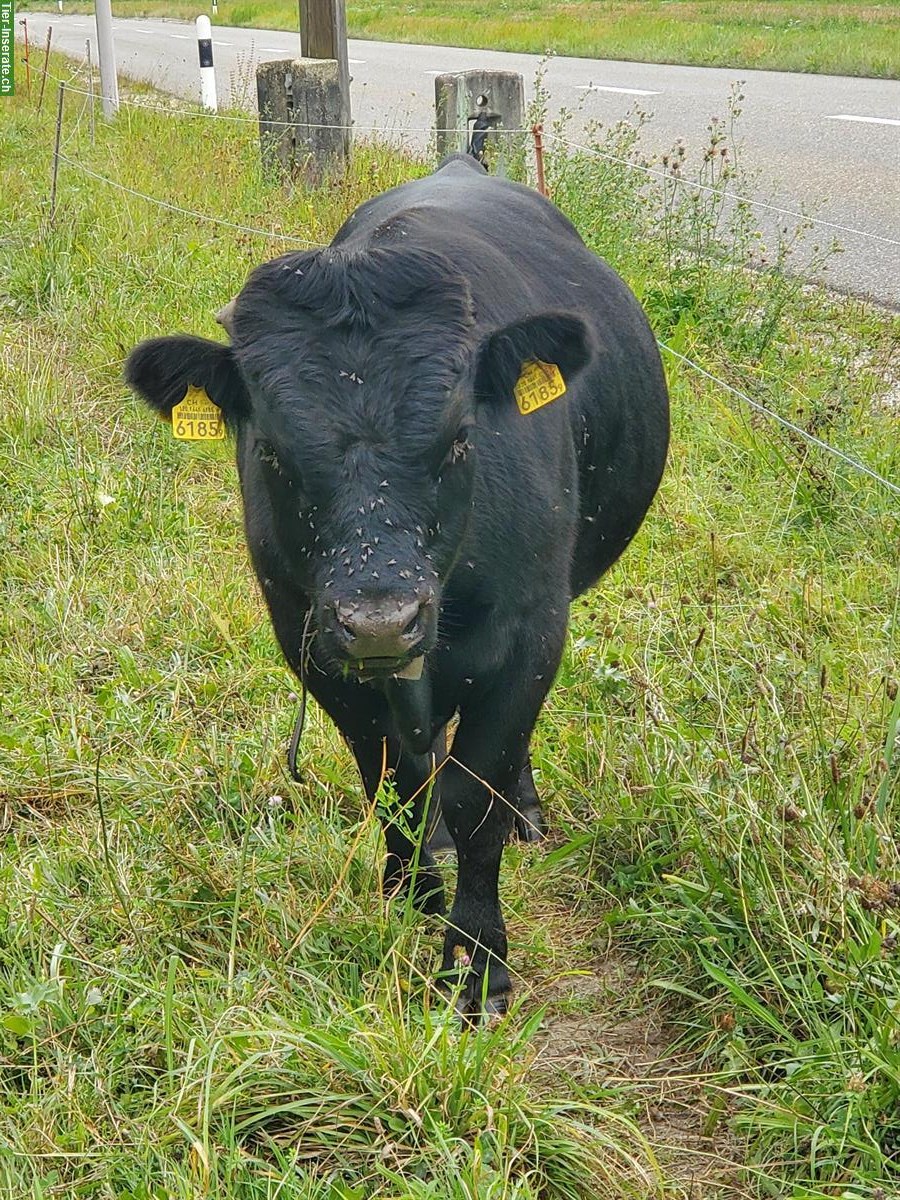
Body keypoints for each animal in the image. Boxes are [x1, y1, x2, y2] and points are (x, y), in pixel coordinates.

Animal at [125, 154, 672, 1017]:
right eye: (271, 450)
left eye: (460, 438)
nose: (381, 619)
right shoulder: (311, 642)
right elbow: (395, 785)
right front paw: (411, 893)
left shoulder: (531, 632)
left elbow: (477, 798)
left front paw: (477, 960)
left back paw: (525, 811)